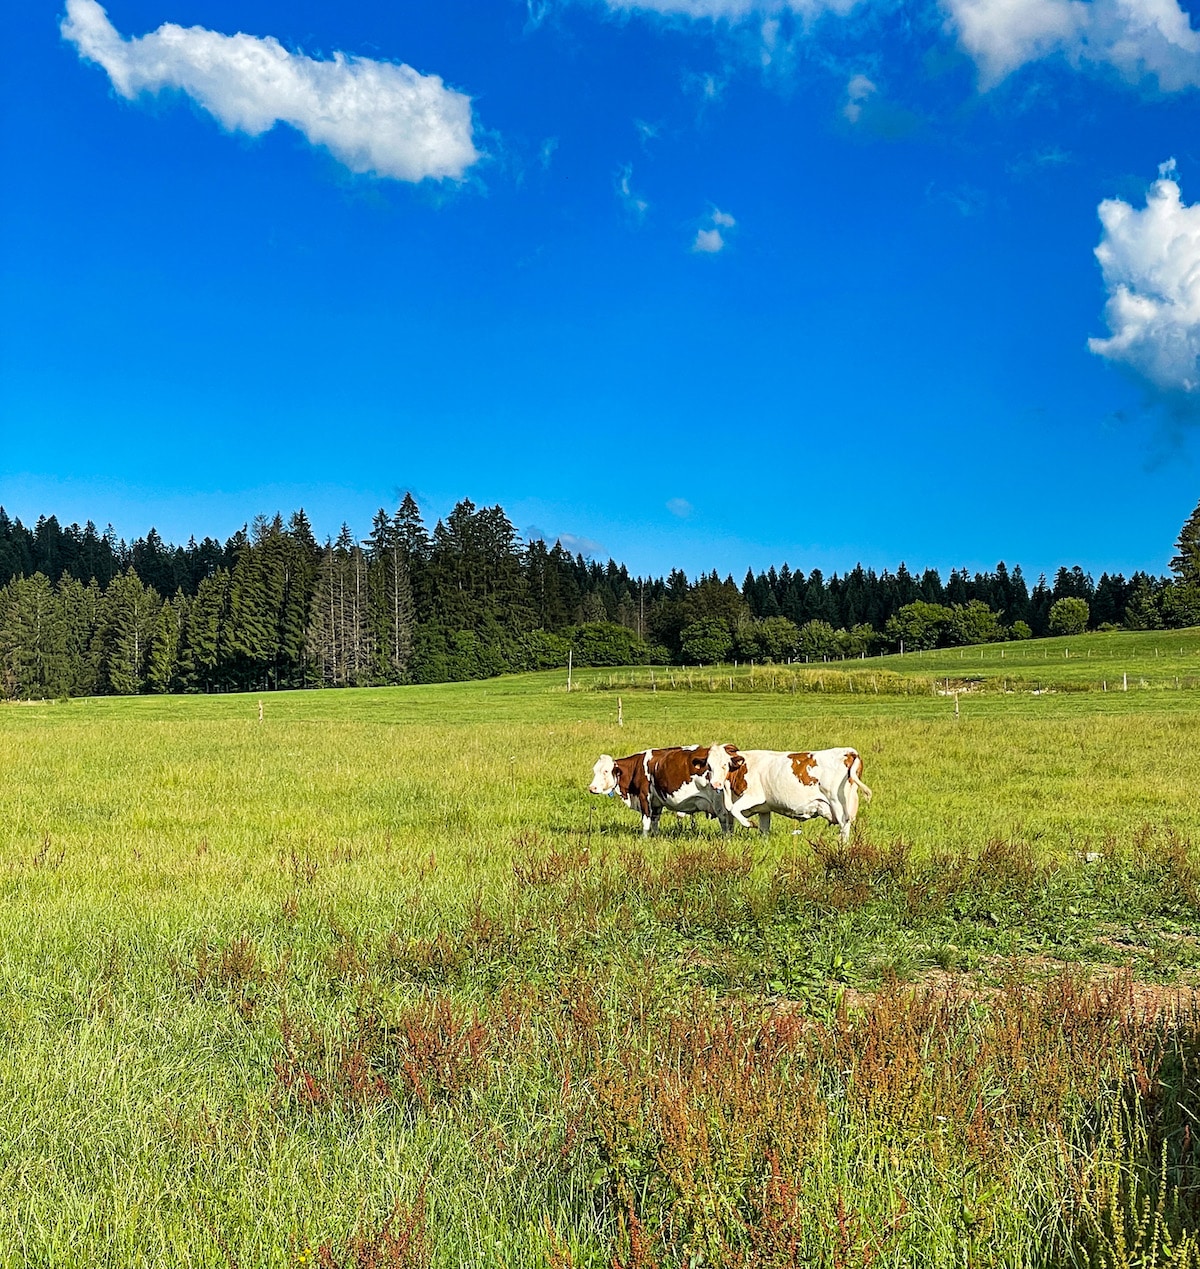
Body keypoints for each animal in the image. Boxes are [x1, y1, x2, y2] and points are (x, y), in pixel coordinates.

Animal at [586, 746, 730, 837]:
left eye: (605, 771)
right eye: (594, 770)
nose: (592, 788)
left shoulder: (644, 796)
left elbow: (646, 820)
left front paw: (643, 838)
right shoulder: (656, 803)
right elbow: (655, 821)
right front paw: (655, 836)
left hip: (719, 803)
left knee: (725, 820)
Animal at [700, 741, 867, 842]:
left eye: (725, 764)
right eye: (709, 766)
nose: (715, 784)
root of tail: (849, 752)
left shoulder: (754, 797)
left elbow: (734, 810)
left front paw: (749, 824)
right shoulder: (764, 809)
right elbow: (764, 829)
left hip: (838, 803)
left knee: (844, 826)